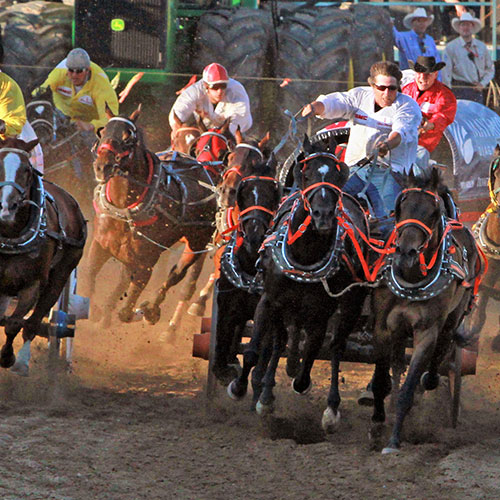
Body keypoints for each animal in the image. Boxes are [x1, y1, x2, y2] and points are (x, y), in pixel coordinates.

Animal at [0, 137, 86, 376]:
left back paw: (24, 361)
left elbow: (14, 323)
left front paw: (9, 357)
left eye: (27, 170)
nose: (6, 207)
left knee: (35, 321)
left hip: (61, 274)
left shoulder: (33, 284)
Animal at [88, 104, 221, 328]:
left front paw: (140, 311)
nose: (101, 166)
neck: (124, 209)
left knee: (177, 274)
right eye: (102, 131)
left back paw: (152, 310)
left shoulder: (145, 264)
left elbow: (126, 311)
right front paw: (96, 311)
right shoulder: (99, 246)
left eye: (128, 137)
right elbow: (87, 279)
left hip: (197, 242)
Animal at [227, 135, 372, 428]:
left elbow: (312, 352)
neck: (305, 253)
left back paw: (331, 406)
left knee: (336, 346)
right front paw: (244, 389)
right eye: (306, 174)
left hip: (350, 305)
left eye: (339, 174)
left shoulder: (320, 313)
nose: (322, 215)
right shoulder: (270, 300)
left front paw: (300, 386)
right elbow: (258, 348)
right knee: (284, 342)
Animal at [370, 168, 482, 454]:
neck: (411, 277)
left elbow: (410, 386)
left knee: (442, 350)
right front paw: (377, 425)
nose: (406, 253)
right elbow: (383, 379)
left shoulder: (426, 333)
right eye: (400, 207)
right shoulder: (384, 327)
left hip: (453, 318)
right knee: (398, 364)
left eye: (432, 212)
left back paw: (428, 382)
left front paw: (394, 440)